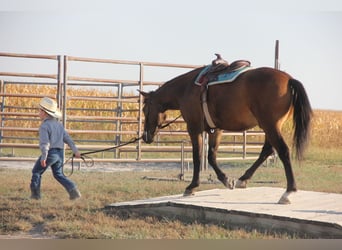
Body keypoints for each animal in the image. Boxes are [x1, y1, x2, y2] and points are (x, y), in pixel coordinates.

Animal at [140, 61, 312, 204]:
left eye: (144, 109)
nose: (145, 136)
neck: (185, 89)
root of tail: (289, 79)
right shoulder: (216, 130)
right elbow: (211, 156)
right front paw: (226, 180)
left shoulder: (194, 128)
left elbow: (197, 156)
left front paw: (191, 187)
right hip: (270, 126)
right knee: (267, 150)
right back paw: (243, 179)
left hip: (270, 125)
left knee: (283, 151)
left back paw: (288, 192)